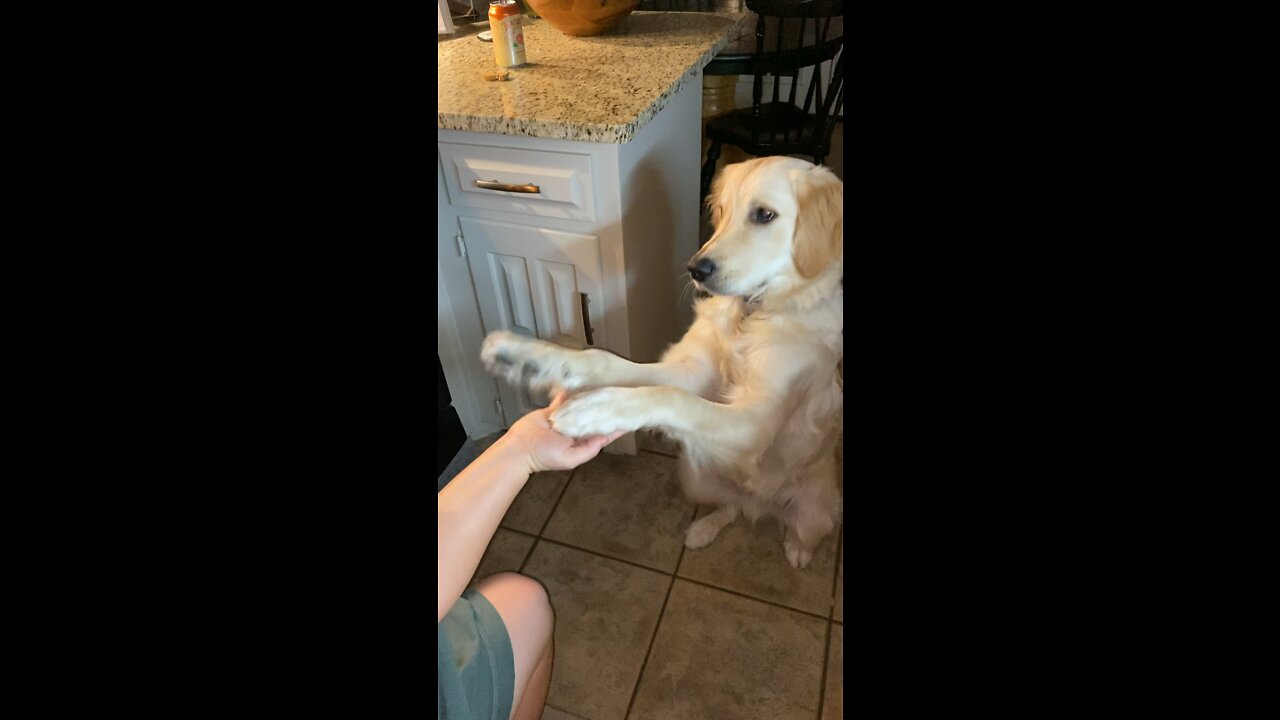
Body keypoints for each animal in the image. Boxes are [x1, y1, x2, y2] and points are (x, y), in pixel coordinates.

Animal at [481, 156, 839, 566]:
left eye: (764, 214)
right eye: (722, 211)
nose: (696, 270)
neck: (750, 315)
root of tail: (760, 505)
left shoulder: (756, 423)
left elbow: (671, 398)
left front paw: (597, 409)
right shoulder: (691, 371)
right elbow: (605, 360)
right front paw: (526, 356)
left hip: (816, 511)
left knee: (802, 529)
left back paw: (797, 550)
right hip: (694, 477)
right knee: (731, 507)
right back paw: (704, 529)